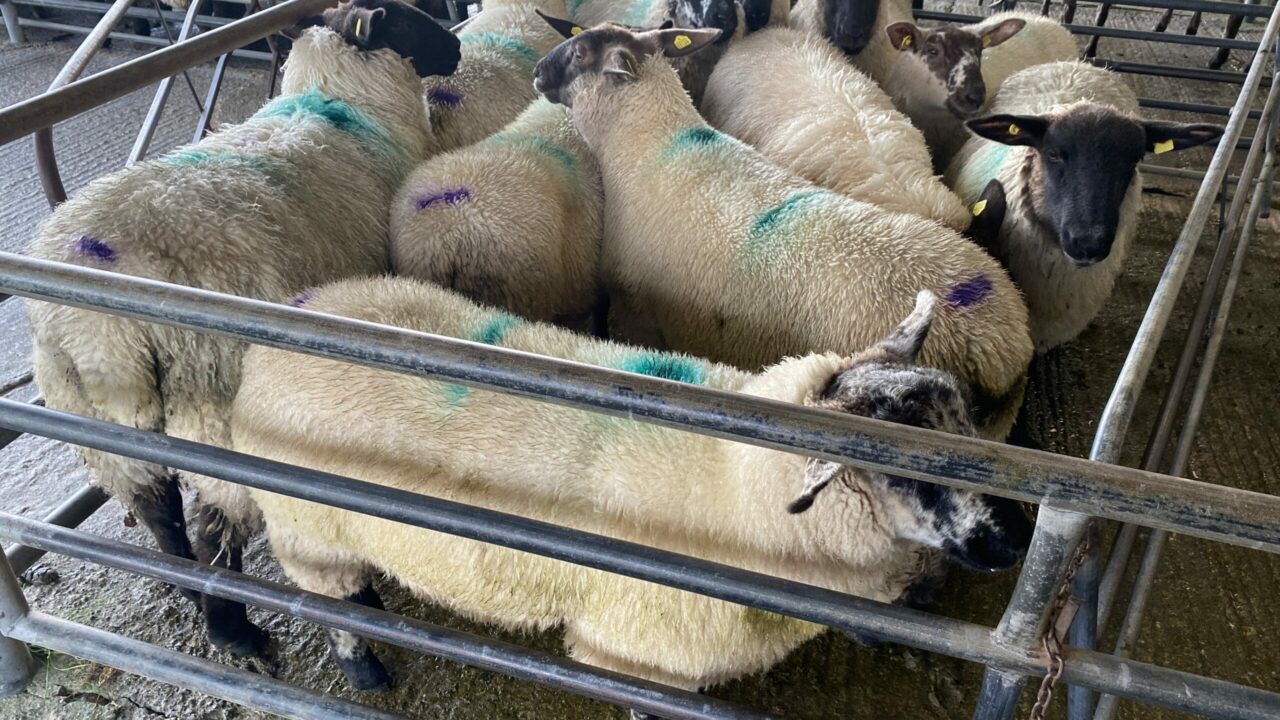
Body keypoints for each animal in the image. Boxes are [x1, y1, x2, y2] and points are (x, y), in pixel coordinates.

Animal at [24, 0, 461, 656]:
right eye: (409, 16)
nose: (455, 52)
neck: (344, 108)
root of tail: (99, 331)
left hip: (99, 423)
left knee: (158, 510)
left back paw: (183, 585)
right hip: (211, 402)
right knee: (214, 527)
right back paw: (235, 633)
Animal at [231, 277, 1034, 701]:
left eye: (968, 420)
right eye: (907, 469)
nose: (1019, 536)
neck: (736, 484)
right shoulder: (638, 654)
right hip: (310, 531)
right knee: (328, 600)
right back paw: (366, 667)